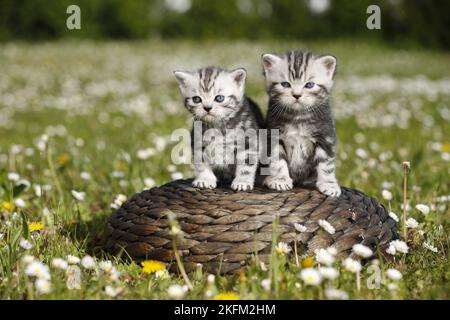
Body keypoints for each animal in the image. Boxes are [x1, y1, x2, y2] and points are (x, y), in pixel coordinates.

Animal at [260, 50, 342, 198]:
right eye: (285, 84)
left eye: (309, 85)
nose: (297, 95)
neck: (298, 117)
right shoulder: (273, 135)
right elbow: (278, 159)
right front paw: (280, 180)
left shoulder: (325, 137)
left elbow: (326, 163)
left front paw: (329, 184)